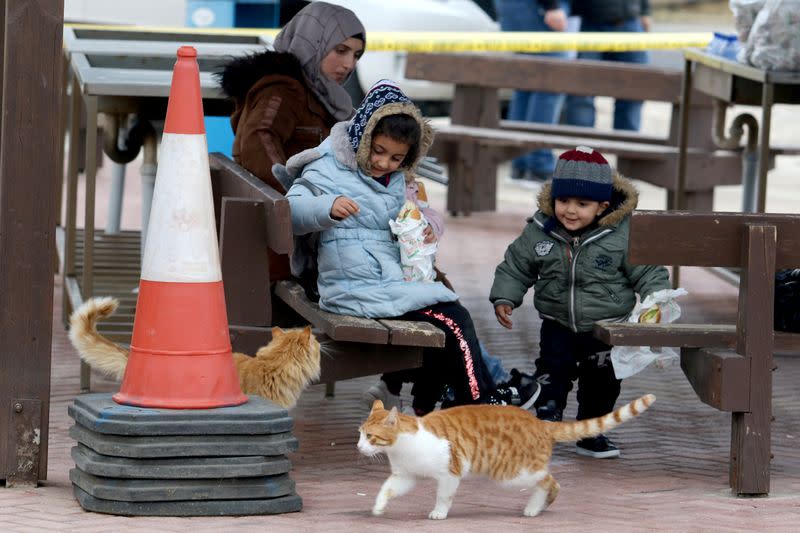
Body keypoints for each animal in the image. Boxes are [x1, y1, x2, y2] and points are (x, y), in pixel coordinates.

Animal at [358, 392, 656, 516]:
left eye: (370, 437)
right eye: (360, 434)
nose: (359, 447)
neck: (402, 447)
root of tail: (540, 423)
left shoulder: (450, 474)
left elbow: (444, 497)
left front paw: (439, 513)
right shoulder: (405, 476)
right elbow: (386, 489)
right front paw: (378, 507)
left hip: (511, 473)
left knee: (550, 481)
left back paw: (535, 507)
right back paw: (539, 506)